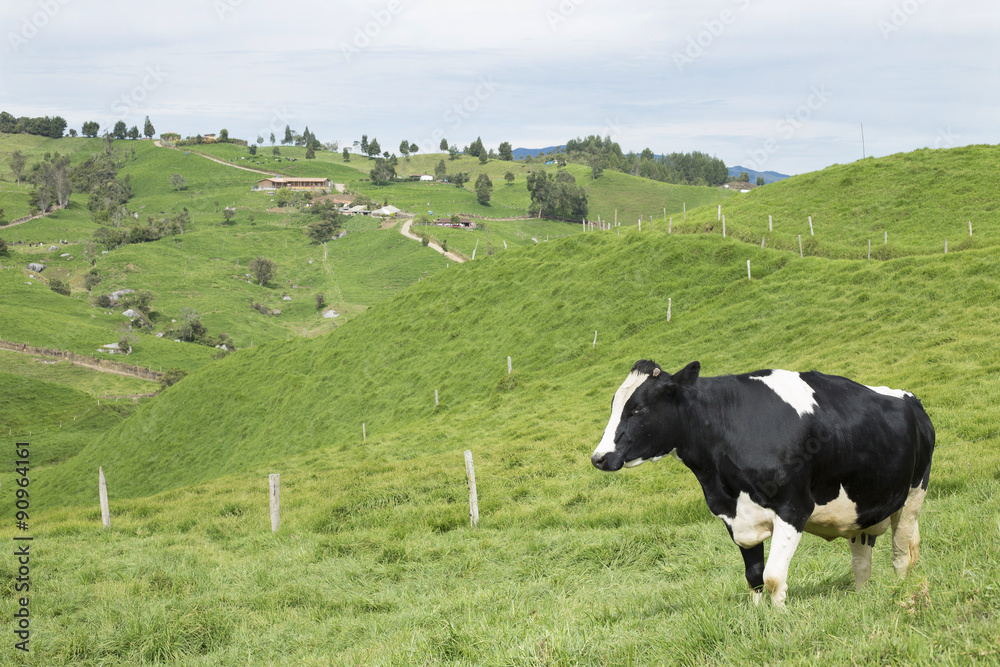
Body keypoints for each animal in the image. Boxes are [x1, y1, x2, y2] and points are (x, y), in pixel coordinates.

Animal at [588, 362, 932, 608]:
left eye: (637, 408)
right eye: (614, 406)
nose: (599, 458)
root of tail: (910, 399)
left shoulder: (794, 507)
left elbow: (774, 577)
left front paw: (780, 622)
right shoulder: (735, 517)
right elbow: (753, 577)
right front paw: (756, 620)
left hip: (913, 496)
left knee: (901, 554)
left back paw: (901, 593)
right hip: (859, 510)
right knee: (861, 561)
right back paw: (862, 597)